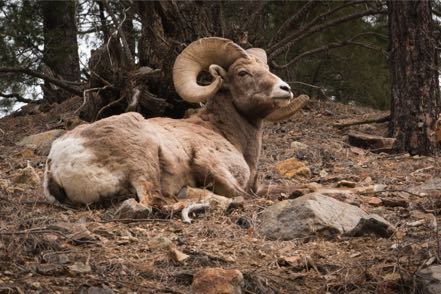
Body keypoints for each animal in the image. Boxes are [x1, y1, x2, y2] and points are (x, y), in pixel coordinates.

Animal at [43, 37, 308, 218]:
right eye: (242, 73)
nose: (285, 89)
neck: (225, 132)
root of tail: (56, 161)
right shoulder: (212, 165)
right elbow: (244, 194)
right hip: (143, 160)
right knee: (155, 203)